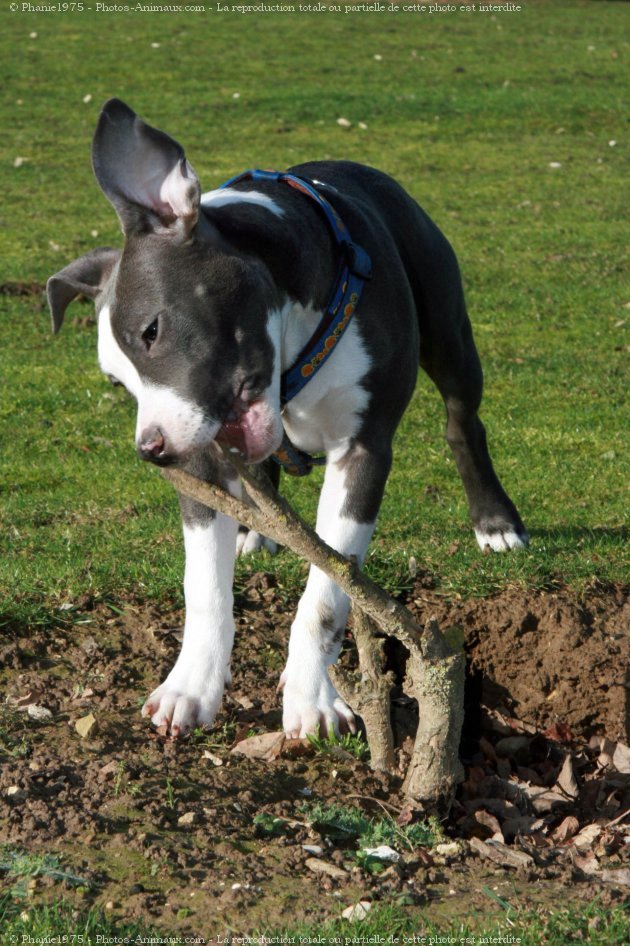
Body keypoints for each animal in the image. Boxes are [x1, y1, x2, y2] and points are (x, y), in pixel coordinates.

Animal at [47, 101, 528, 736]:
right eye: (116, 381)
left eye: (151, 331)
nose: (152, 449)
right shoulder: (203, 464)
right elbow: (205, 588)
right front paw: (190, 686)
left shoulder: (362, 451)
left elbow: (326, 594)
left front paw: (312, 699)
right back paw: (255, 530)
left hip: (450, 338)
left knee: (462, 422)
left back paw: (494, 520)